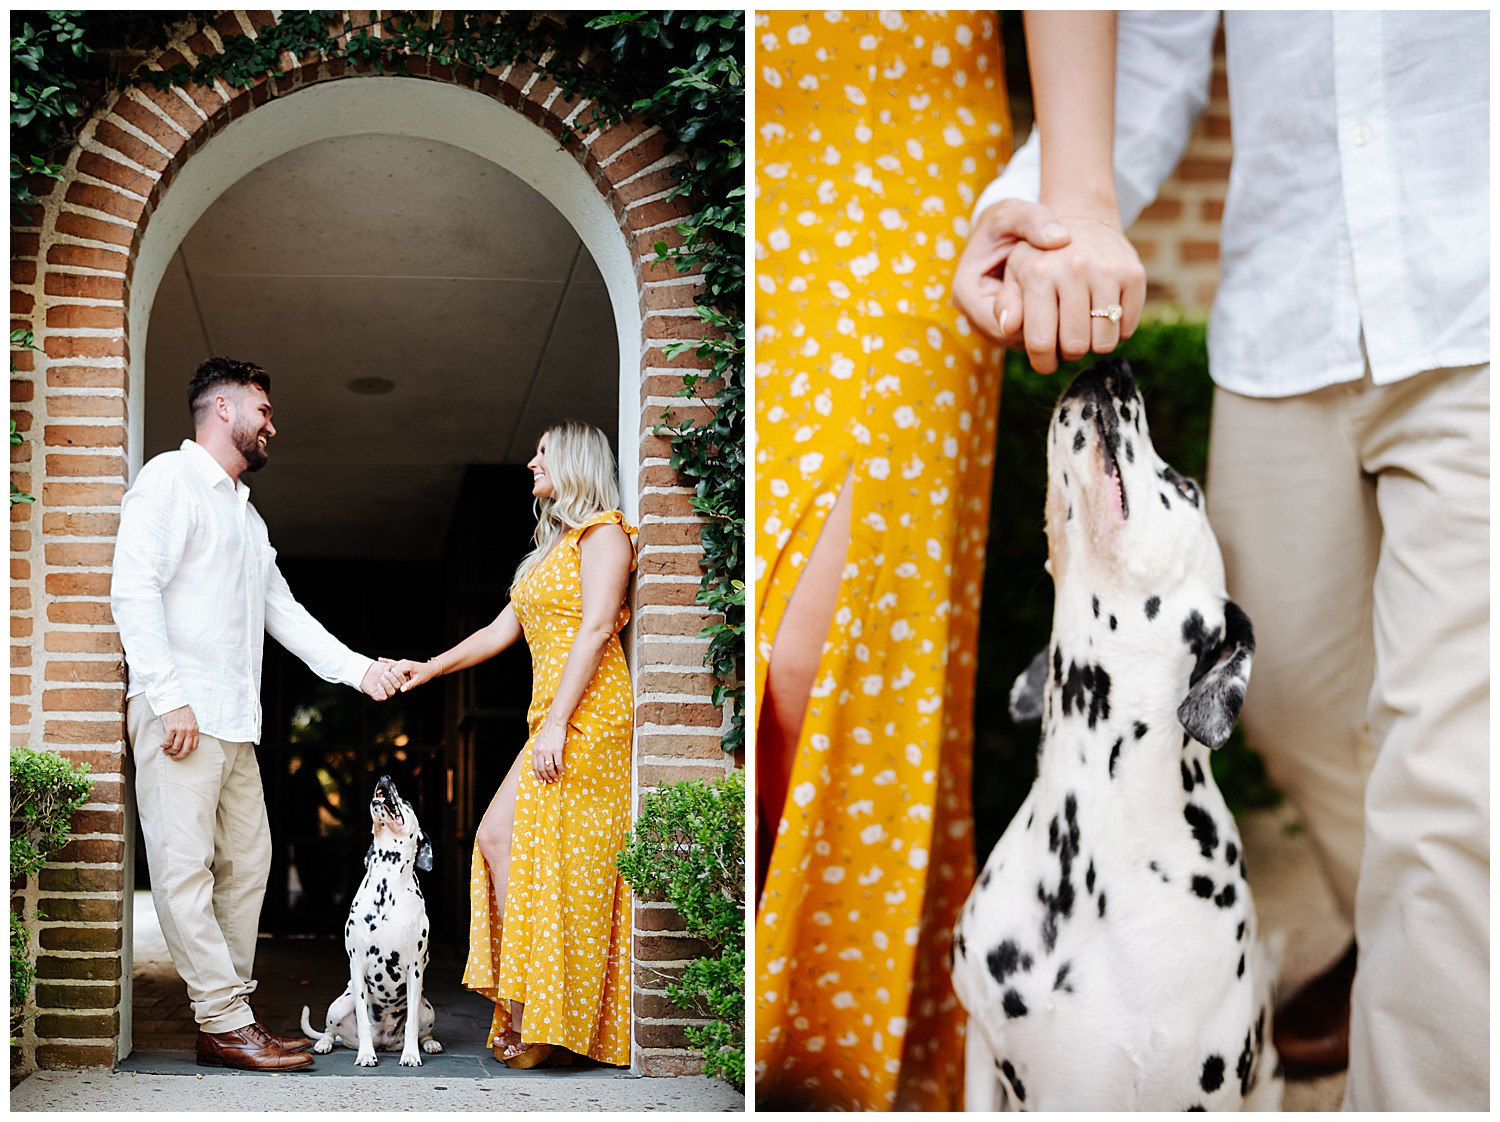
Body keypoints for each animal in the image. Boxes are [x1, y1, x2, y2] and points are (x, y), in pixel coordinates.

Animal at [298, 774, 438, 1068]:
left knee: (423, 1031)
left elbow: (411, 1025)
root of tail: (384, 1041)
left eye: (408, 802)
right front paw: (365, 1054)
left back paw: (429, 1044)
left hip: (426, 1008)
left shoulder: (415, 968)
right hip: (339, 1005)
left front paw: (411, 1055)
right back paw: (326, 1043)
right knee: (330, 1031)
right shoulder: (357, 964)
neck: (387, 882)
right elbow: (363, 1019)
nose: (386, 776)